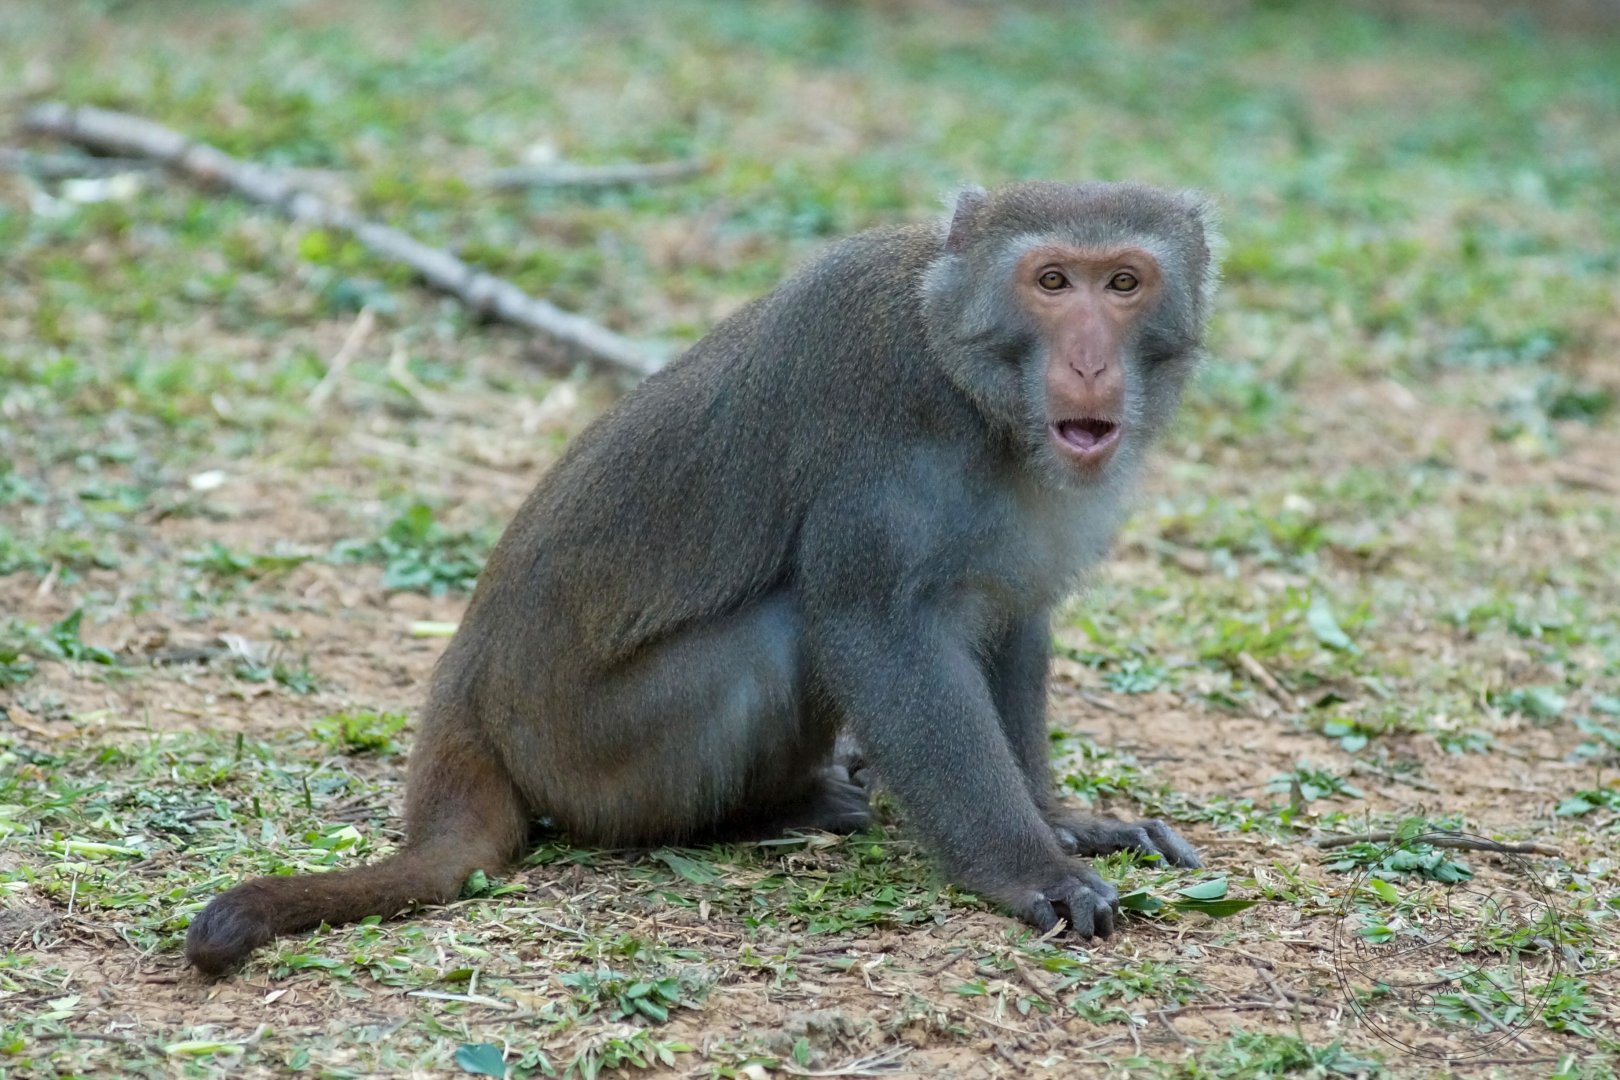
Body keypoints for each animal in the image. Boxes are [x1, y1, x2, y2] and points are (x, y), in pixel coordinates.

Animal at [186, 181, 1217, 977]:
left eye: (1124, 283)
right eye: (1052, 282)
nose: (1088, 361)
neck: (974, 389)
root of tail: (465, 690)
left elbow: (1010, 621)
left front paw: (1064, 823)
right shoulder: (882, 412)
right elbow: (878, 631)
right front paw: (1027, 869)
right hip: (599, 760)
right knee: (784, 628)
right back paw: (766, 814)